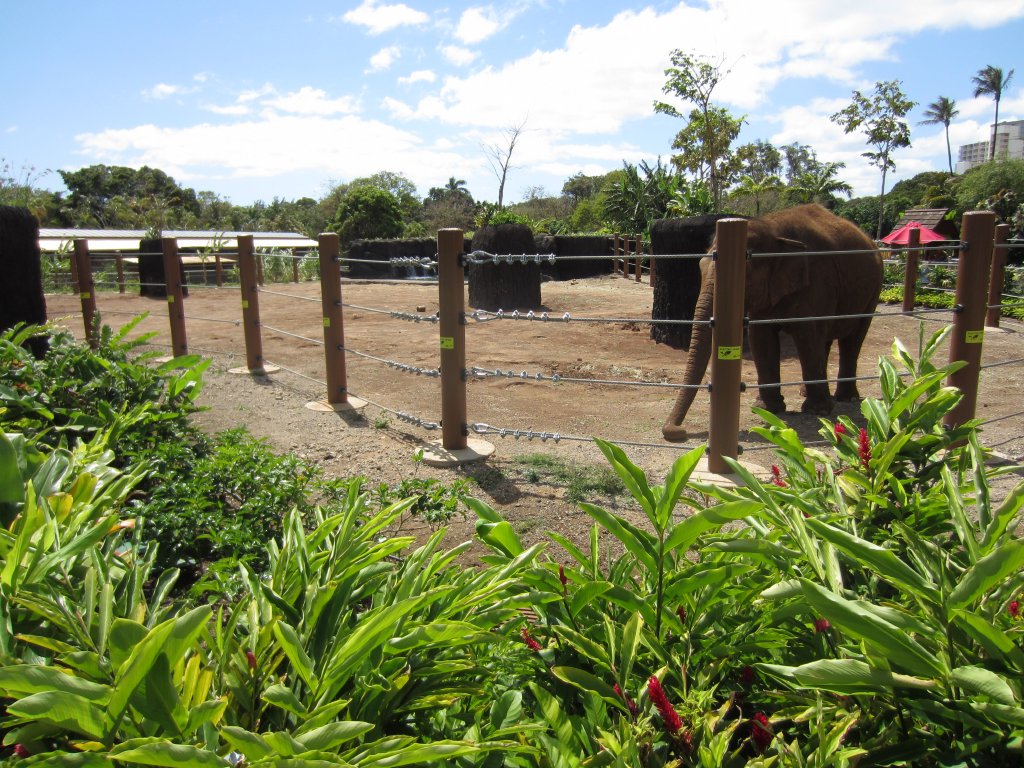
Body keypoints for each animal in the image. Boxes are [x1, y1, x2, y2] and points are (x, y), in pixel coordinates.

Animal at [662, 203, 883, 442]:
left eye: (744, 279)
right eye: (700, 266)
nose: (678, 432)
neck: (773, 228)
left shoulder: (818, 280)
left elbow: (807, 336)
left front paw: (817, 411)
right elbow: (762, 339)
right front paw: (767, 408)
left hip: (873, 290)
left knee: (852, 338)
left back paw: (845, 398)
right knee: (825, 341)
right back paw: (807, 392)